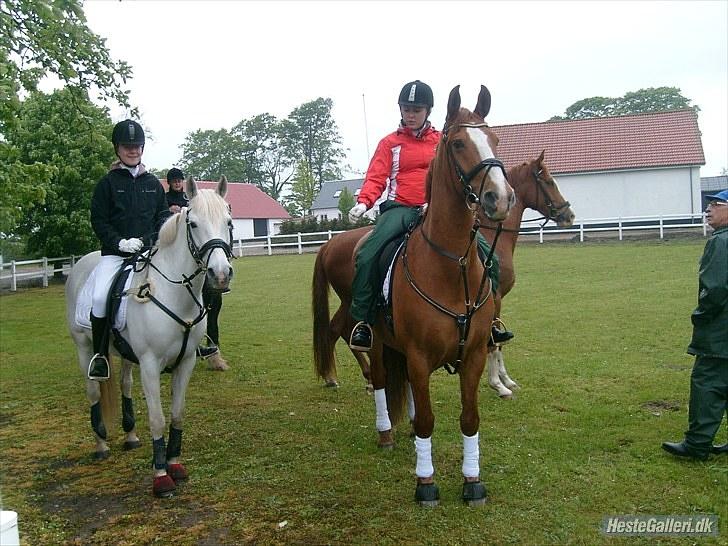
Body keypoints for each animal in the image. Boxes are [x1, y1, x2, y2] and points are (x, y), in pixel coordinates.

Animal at [65, 175, 232, 498]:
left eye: (228, 222)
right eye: (194, 224)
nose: (220, 275)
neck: (173, 293)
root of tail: (82, 263)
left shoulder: (185, 362)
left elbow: (178, 414)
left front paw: (175, 464)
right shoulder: (151, 365)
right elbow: (157, 419)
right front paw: (161, 476)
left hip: (126, 355)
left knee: (125, 385)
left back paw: (130, 435)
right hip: (83, 346)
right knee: (93, 391)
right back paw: (101, 443)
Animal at [312, 85, 512, 506]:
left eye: (495, 140)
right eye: (457, 143)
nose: (500, 198)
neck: (451, 267)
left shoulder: (473, 355)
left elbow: (469, 418)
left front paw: (472, 481)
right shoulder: (419, 358)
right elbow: (427, 420)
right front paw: (426, 482)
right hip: (373, 337)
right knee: (378, 377)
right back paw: (386, 431)